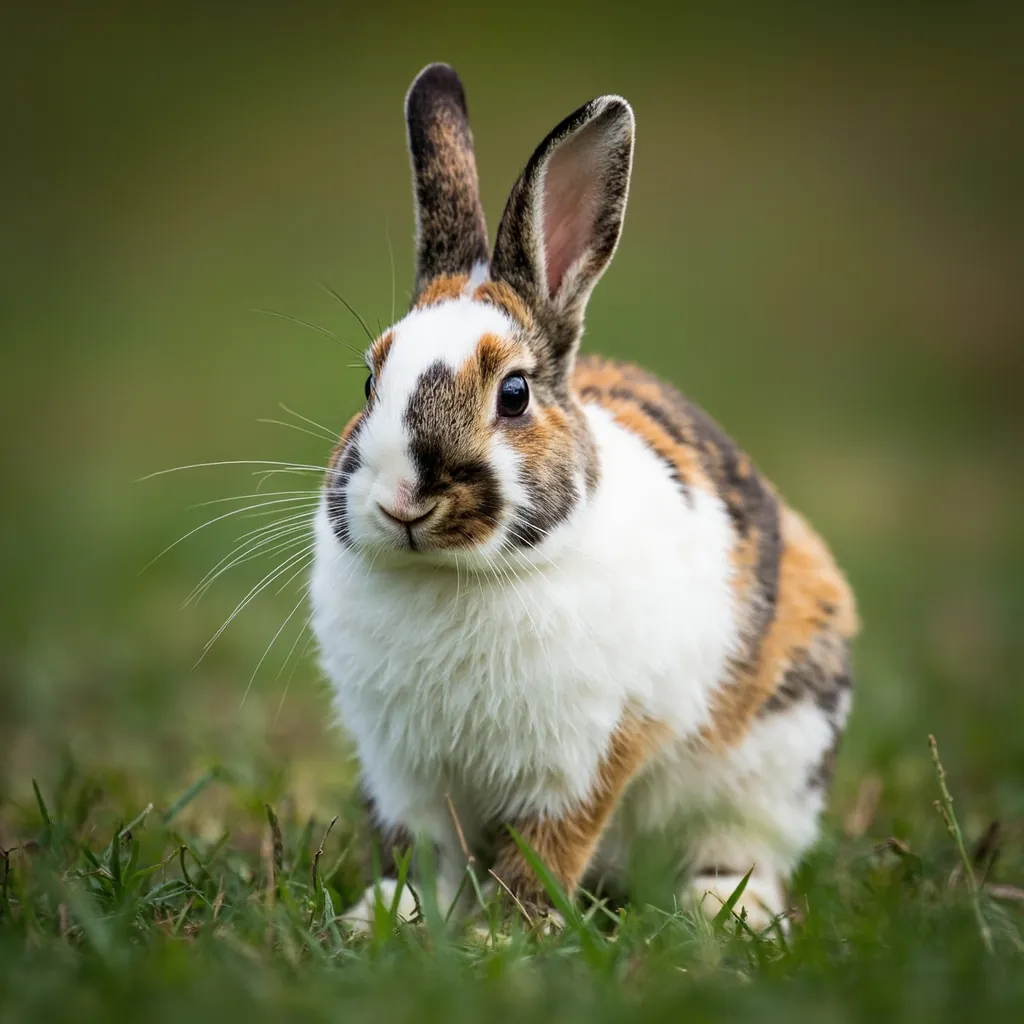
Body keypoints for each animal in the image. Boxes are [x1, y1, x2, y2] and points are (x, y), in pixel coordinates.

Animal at [310, 63, 858, 933]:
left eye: (514, 394)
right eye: (369, 382)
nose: (402, 501)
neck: (457, 577)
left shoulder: (586, 755)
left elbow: (548, 847)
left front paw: (500, 937)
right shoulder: (405, 770)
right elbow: (422, 849)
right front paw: (389, 917)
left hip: (776, 762)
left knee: (742, 851)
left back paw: (724, 911)